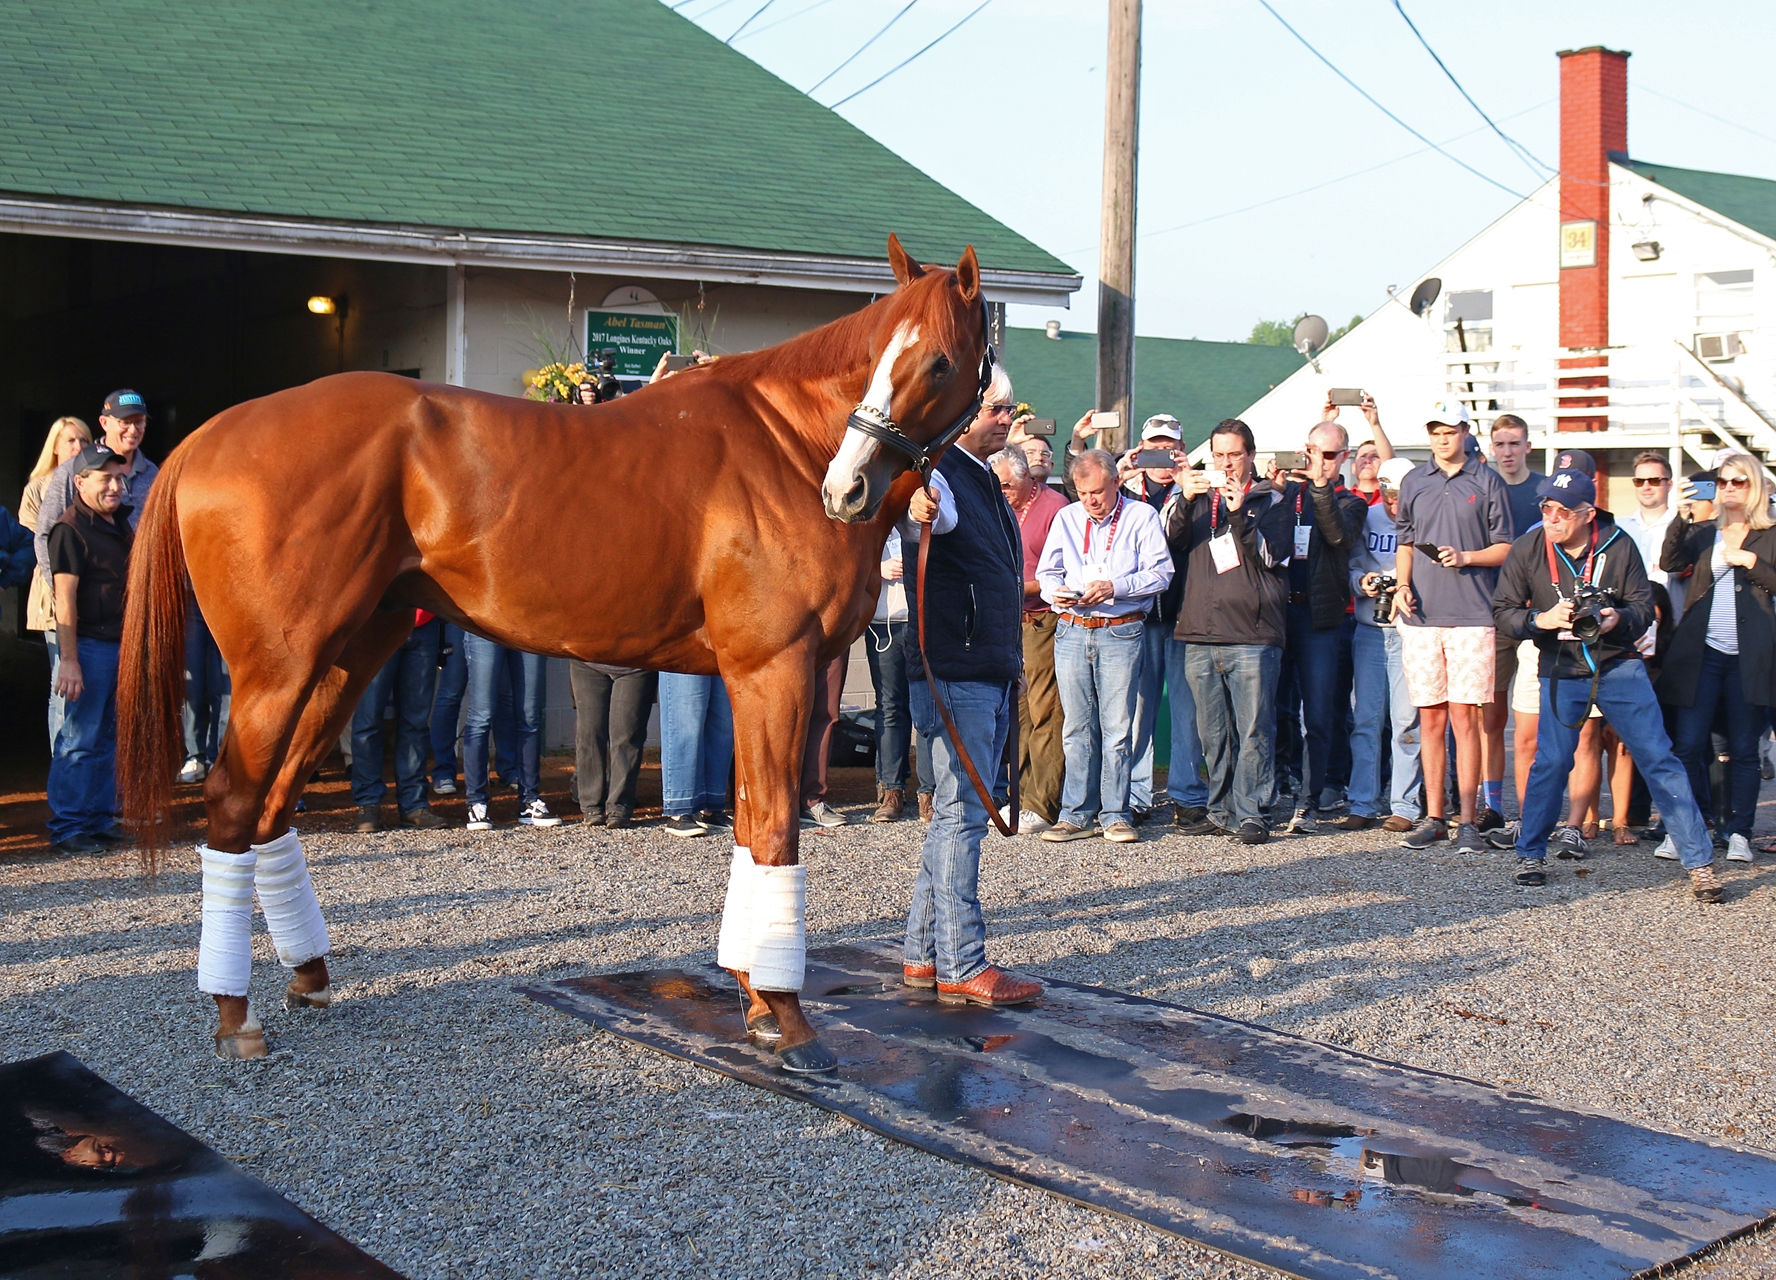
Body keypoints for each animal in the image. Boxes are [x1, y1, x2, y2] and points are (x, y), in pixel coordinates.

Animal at [118, 237, 994, 1065]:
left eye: (938, 361)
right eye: (880, 355)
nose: (844, 489)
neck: (783, 444)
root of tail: (212, 433)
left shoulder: (764, 679)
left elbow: (750, 825)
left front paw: (753, 1001)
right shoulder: (771, 669)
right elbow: (775, 829)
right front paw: (787, 1015)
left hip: (346, 656)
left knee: (271, 806)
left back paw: (308, 977)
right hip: (278, 668)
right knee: (234, 802)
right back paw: (235, 1016)